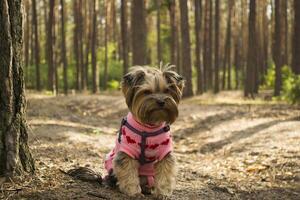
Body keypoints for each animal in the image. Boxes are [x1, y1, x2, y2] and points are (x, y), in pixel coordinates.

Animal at [105, 65, 185, 198]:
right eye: (146, 92)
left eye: (167, 91)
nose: (161, 101)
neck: (148, 127)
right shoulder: (126, 153)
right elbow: (128, 173)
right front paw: (134, 192)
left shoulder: (165, 154)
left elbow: (165, 173)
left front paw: (162, 193)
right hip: (111, 166)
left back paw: (148, 188)